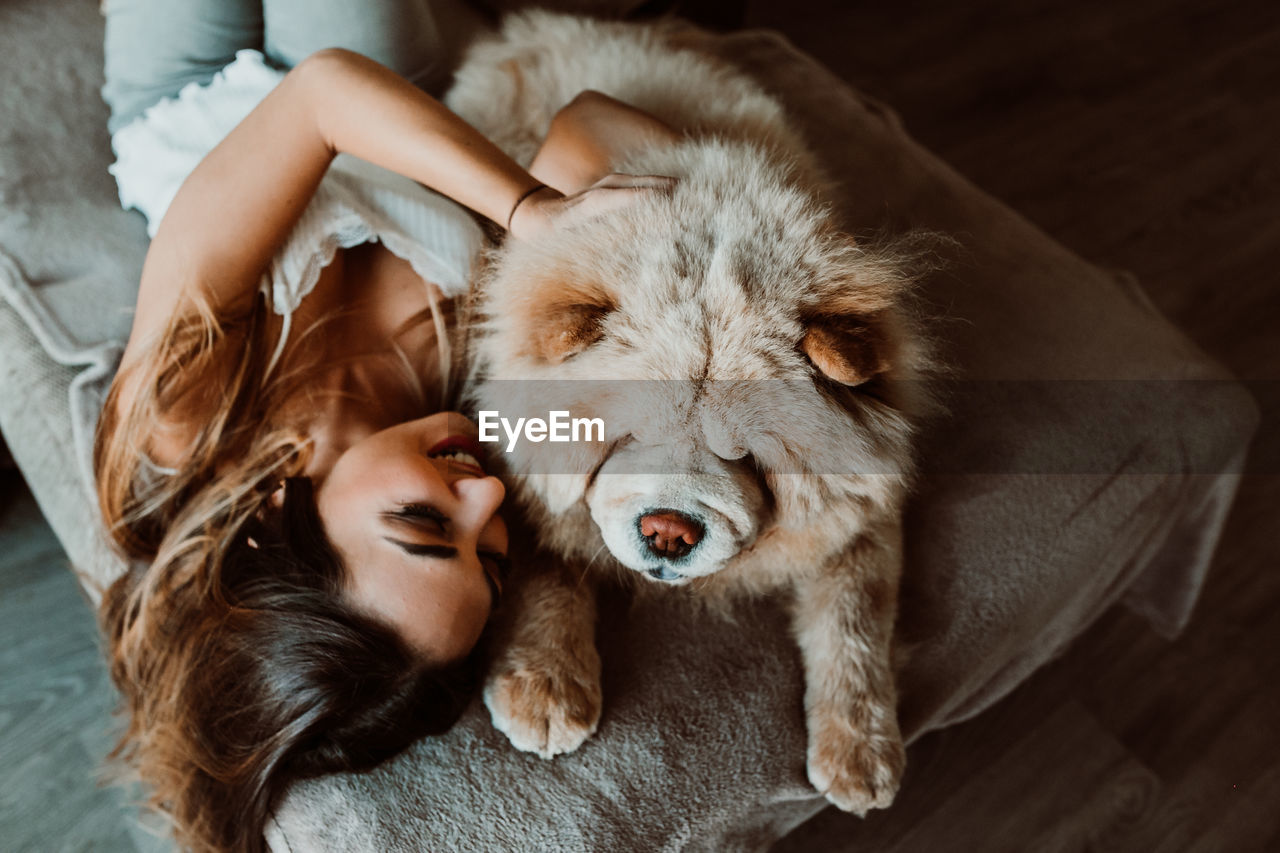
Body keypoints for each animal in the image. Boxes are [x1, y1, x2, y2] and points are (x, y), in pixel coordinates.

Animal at [445, 13, 926, 809]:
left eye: (746, 455)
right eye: (626, 436)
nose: (669, 532)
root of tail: (536, 25)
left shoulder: (865, 506)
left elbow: (854, 617)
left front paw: (861, 757)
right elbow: (548, 558)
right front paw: (544, 689)